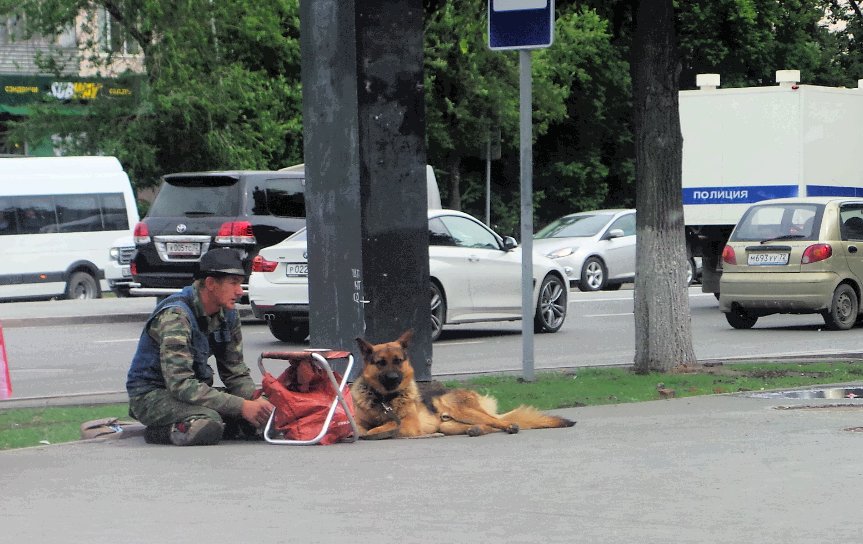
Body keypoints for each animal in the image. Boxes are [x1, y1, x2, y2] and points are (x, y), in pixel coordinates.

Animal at [352, 330, 572, 440]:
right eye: (381, 362)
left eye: (398, 361)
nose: (393, 378)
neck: (384, 399)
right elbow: (362, 428)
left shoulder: (408, 425)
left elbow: (385, 426)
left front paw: (375, 431)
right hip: (449, 424)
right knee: (488, 425)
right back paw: (476, 430)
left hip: (462, 411)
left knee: (496, 421)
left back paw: (509, 426)